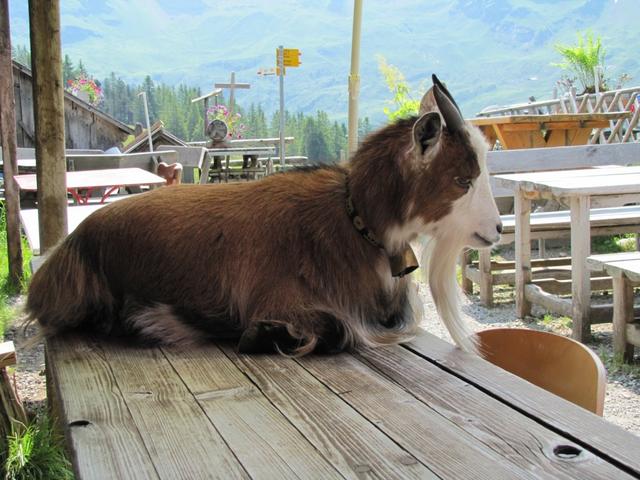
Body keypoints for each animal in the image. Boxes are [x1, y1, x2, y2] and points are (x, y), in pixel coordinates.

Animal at [25, 74, 502, 352]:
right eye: (463, 180)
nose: (496, 229)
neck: (353, 221)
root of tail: (68, 247)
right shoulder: (283, 298)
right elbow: (340, 331)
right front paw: (266, 334)